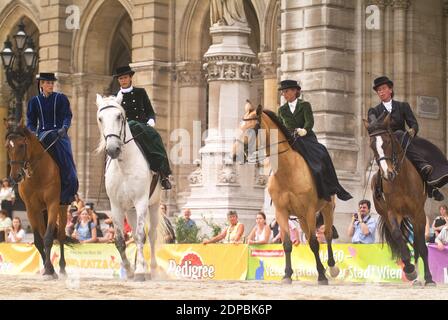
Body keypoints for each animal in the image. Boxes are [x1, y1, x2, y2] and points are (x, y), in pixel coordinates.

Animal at [4, 125, 68, 280]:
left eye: (22, 145)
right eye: (7, 146)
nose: (15, 176)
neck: (37, 173)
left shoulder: (53, 204)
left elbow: (48, 238)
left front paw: (51, 270)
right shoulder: (31, 209)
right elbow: (39, 241)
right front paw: (49, 269)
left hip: (62, 208)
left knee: (61, 236)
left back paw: (62, 268)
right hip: (40, 211)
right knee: (44, 233)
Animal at [96, 94, 164, 282]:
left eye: (119, 116)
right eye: (100, 118)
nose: (113, 149)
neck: (124, 166)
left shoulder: (141, 201)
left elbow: (141, 236)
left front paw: (140, 271)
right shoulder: (116, 206)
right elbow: (120, 240)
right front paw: (130, 270)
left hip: (153, 205)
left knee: (152, 236)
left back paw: (152, 269)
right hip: (131, 210)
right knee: (134, 234)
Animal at [234, 103, 340, 284]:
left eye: (252, 129)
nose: (234, 154)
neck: (287, 171)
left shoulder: (310, 210)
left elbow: (314, 242)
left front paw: (321, 275)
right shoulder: (281, 212)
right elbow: (288, 244)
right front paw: (287, 275)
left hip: (326, 208)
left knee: (327, 235)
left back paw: (331, 268)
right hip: (302, 218)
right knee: (310, 236)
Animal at [364, 114, 434, 284]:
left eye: (388, 141)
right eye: (372, 146)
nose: (387, 174)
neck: (401, 180)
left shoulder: (419, 213)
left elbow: (422, 246)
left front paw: (429, 278)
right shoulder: (392, 213)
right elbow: (397, 236)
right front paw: (409, 268)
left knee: (417, 244)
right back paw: (414, 275)